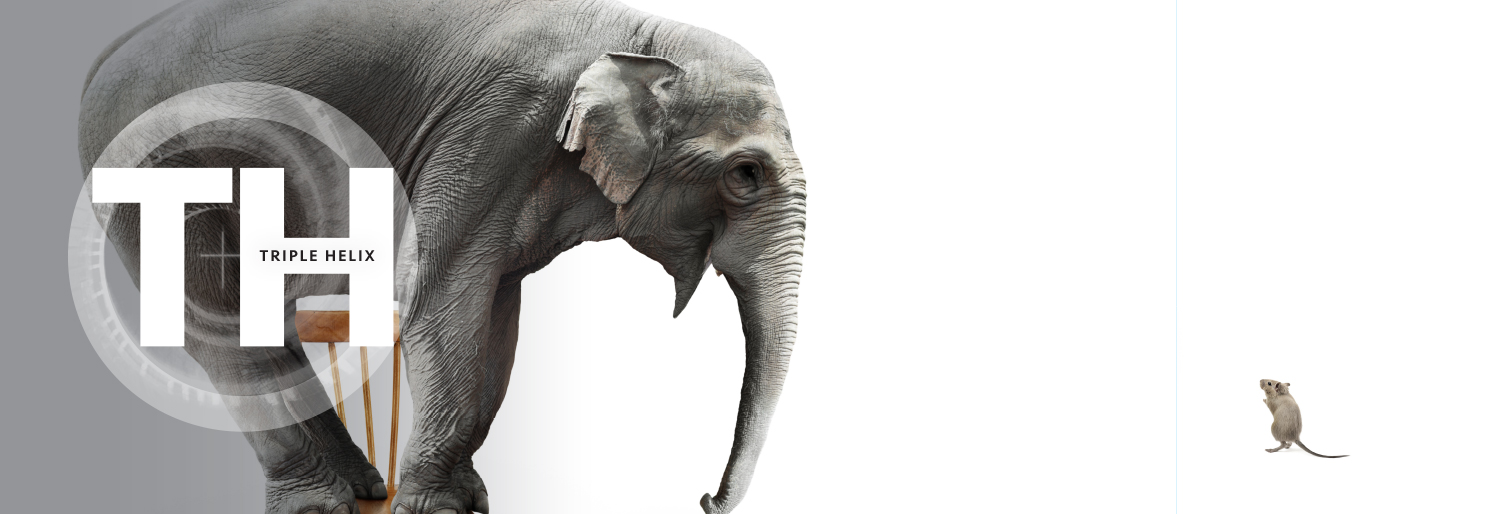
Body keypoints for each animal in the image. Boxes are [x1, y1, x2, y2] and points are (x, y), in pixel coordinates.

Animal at [76, 0, 806, 513]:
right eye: (745, 174)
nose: (706, 499)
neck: (640, 34)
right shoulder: (494, 128)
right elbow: (438, 292)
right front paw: (439, 507)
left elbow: (497, 306)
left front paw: (468, 498)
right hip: (158, 172)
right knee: (219, 326)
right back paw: (320, 503)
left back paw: (363, 489)